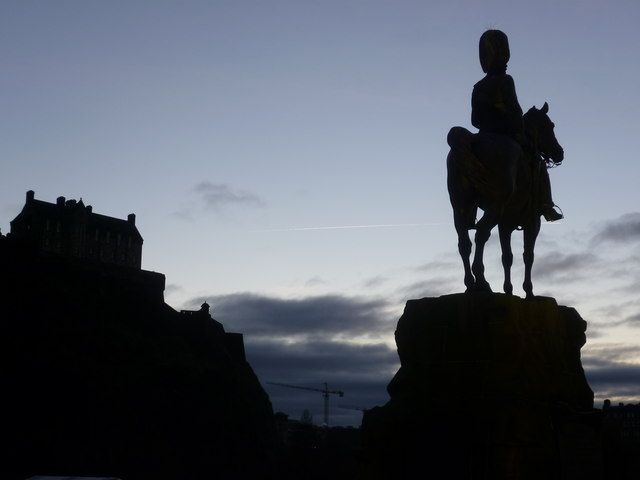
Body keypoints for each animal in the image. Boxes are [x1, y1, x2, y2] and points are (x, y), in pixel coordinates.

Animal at [444, 103, 564, 298]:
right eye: (550, 125)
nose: (560, 152)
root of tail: (473, 139)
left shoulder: (505, 223)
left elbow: (507, 257)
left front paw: (508, 291)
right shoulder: (532, 222)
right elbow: (528, 255)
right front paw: (529, 292)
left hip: (460, 206)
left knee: (464, 242)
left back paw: (470, 284)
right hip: (495, 205)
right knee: (481, 234)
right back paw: (482, 282)